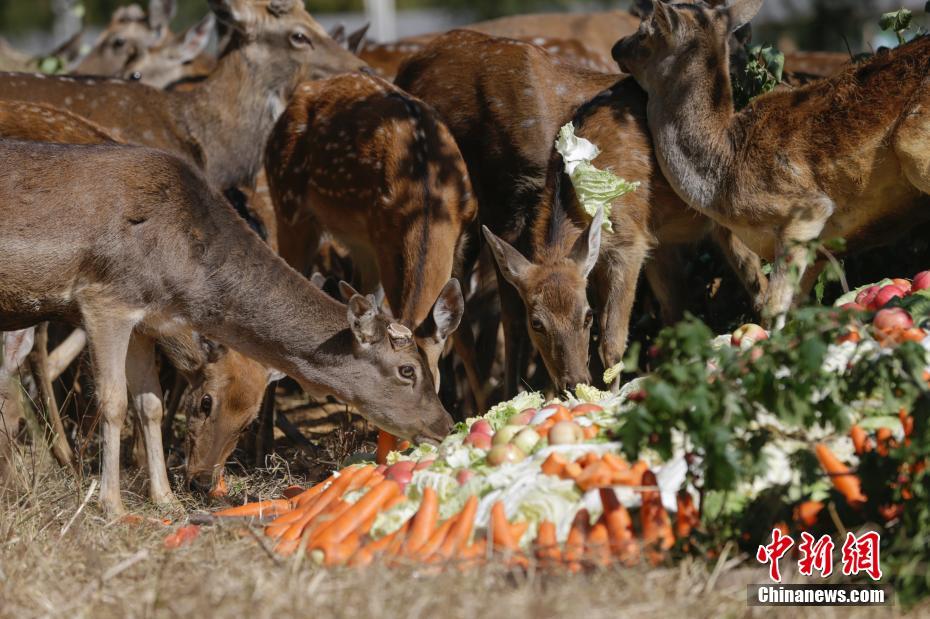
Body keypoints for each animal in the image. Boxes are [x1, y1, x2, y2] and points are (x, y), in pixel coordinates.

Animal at [0, 139, 454, 512]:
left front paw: (165, 501)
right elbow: (113, 401)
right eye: (407, 370)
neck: (183, 282)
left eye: (249, 422)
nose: (445, 425)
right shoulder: (105, 298)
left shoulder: (146, 320)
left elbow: (150, 404)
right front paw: (112, 506)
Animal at [264, 71, 474, 406]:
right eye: (407, 372)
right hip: (288, 206)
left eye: (433, 383)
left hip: (356, 241)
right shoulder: (384, 238)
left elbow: (465, 336)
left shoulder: (462, 237)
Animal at [612, 0, 928, 326]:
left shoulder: (806, 209)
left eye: (644, 31)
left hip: (913, 149)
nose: (616, 47)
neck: (722, 175)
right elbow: (793, 307)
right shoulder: (821, 248)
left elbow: (773, 305)